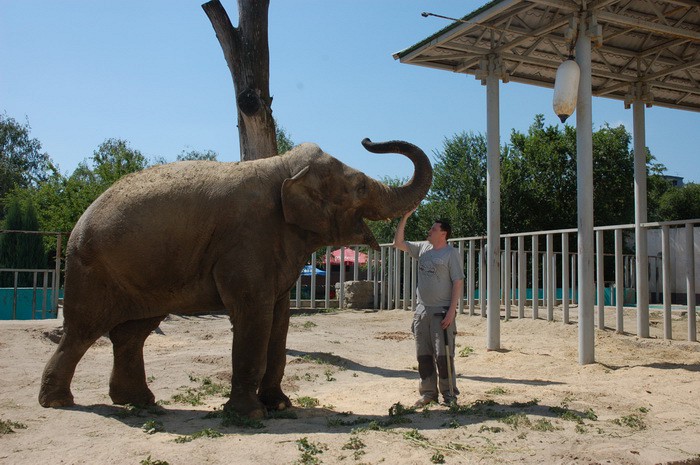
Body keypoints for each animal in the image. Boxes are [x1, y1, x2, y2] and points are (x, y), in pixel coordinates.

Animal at [38, 138, 432, 419]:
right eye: (361, 186)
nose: (368, 139)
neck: (284, 167)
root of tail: (78, 222)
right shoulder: (247, 240)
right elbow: (253, 313)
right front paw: (250, 415)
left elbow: (279, 319)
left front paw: (280, 406)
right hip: (93, 269)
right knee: (83, 331)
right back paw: (58, 403)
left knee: (132, 333)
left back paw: (140, 402)